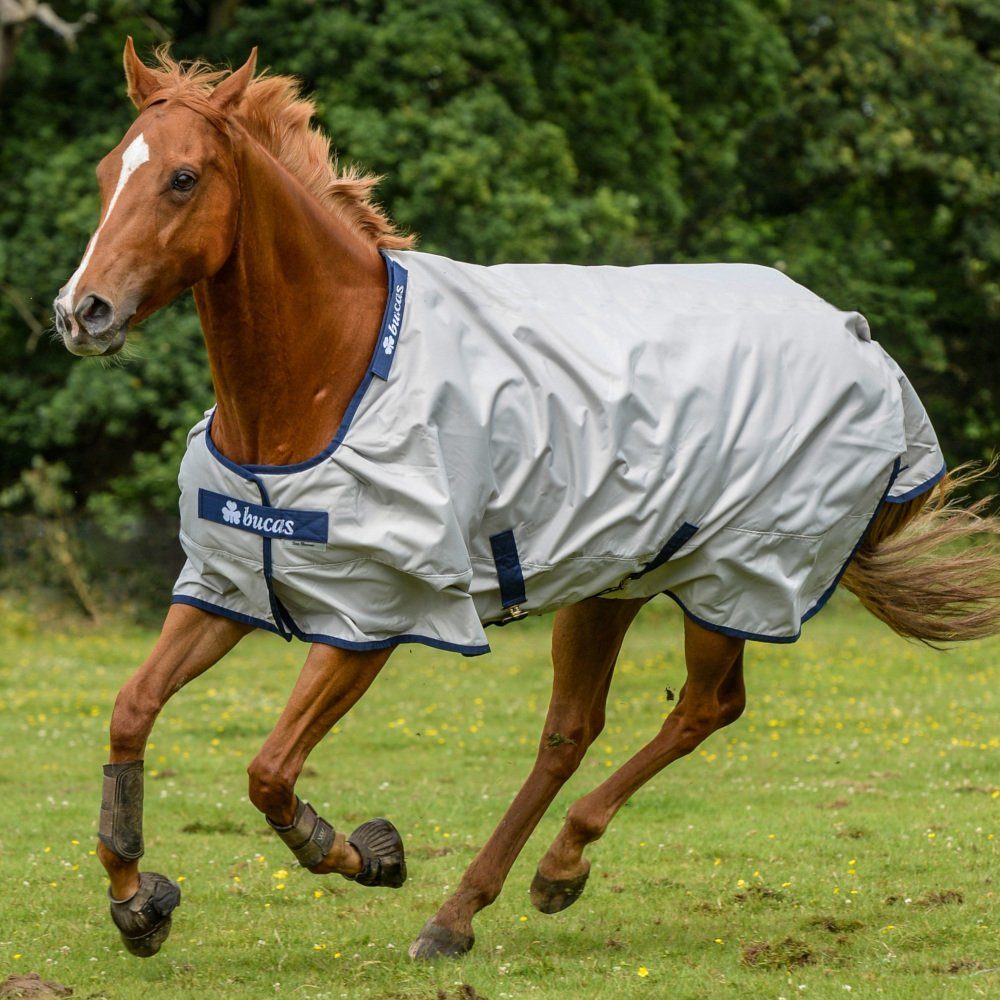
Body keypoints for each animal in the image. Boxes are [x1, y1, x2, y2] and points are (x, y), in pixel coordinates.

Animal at [52, 43, 1000, 964]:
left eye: (183, 178)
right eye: (104, 173)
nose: (81, 311)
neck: (330, 376)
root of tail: (862, 343)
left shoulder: (375, 615)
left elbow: (272, 772)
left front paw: (368, 854)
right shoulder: (233, 584)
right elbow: (131, 711)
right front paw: (136, 901)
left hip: (737, 580)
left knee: (706, 707)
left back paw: (541, 872)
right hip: (613, 580)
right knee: (572, 730)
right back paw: (478, 905)